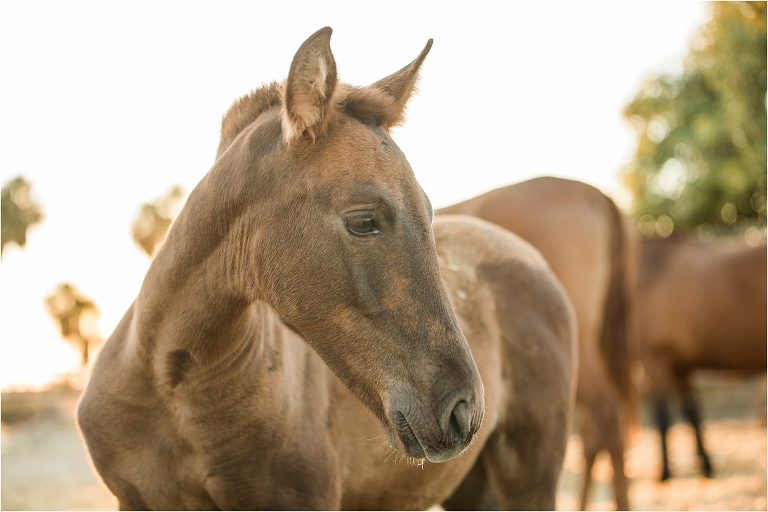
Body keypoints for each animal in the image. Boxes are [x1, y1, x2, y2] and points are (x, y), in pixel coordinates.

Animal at [633, 236, 767, 481]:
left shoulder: (656, 362)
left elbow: (662, 417)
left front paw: (665, 472)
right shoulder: (680, 367)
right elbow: (692, 411)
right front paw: (705, 464)